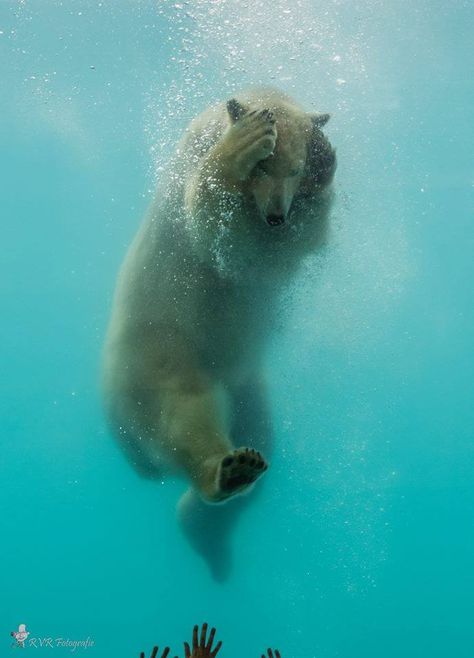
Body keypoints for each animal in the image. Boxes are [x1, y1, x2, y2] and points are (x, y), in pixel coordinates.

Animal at [103, 84, 336, 576]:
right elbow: (220, 229)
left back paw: (212, 519)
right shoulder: (191, 183)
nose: (276, 216)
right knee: (183, 413)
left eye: (296, 168)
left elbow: (304, 241)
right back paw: (224, 473)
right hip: (159, 352)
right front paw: (245, 142)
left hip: (247, 382)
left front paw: (326, 156)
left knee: (263, 435)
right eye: (264, 165)